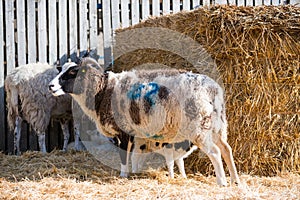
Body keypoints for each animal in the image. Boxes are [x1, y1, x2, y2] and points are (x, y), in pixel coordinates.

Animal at [49, 57, 240, 186]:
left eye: (71, 73)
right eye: (60, 70)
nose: (50, 86)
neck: (102, 91)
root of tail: (213, 89)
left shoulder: (122, 131)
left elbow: (124, 156)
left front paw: (123, 175)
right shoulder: (138, 134)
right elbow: (136, 155)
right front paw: (135, 172)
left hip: (199, 127)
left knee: (215, 152)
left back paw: (222, 182)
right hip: (217, 126)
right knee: (227, 149)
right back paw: (235, 180)